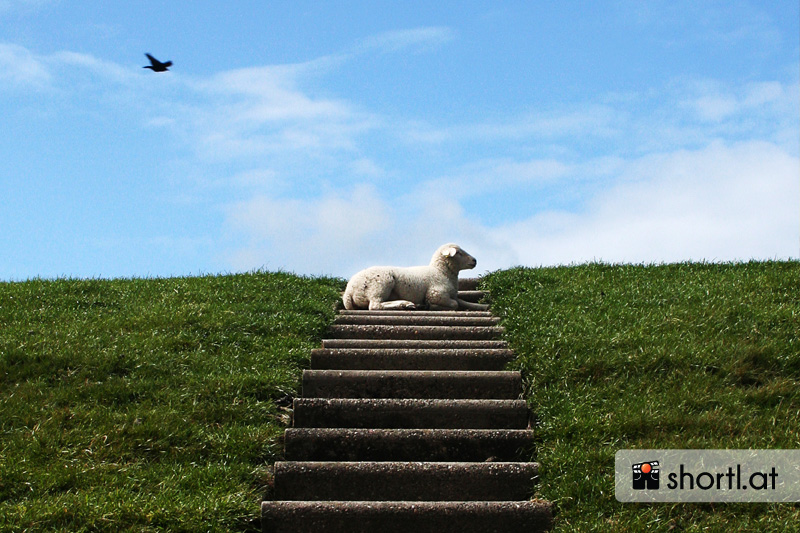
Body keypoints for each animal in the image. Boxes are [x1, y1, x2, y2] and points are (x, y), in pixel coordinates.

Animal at [342, 244, 490, 314]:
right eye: (458, 253)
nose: (474, 261)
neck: (441, 272)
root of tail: (348, 291)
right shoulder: (436, 293)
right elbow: (454, 304)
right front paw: (431, 306)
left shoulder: (453, 295)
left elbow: (465, 303)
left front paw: (484, 306)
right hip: (381, 284)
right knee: (375, 305)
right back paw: (404, 304)